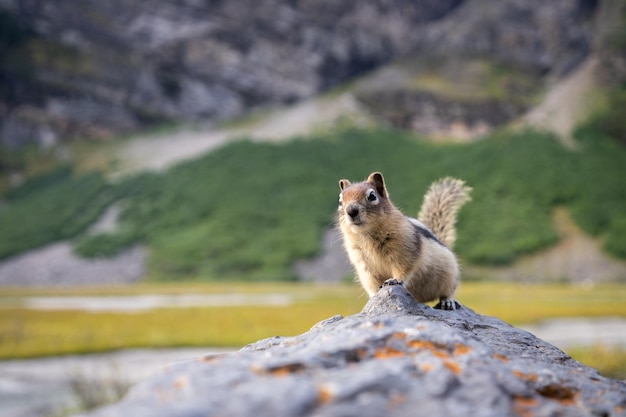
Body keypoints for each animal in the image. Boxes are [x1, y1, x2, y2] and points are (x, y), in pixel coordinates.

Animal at [336, 171, 468, 308]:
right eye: (340, 201)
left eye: (372, 196)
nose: (351, 211)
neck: (367, 234)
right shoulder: (363, 264)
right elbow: (370, 282)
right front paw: (373, 296)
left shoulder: (405, 250)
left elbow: (404, 269)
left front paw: (395, 280)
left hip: (451, 275)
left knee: (448, 292)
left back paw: (448, 302)